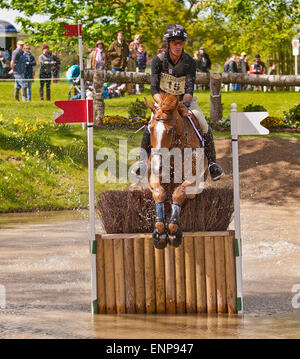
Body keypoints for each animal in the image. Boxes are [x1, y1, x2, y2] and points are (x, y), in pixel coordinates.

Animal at [144, 93, 207, 250]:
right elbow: (159, 192)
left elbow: (179, 193)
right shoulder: (153, 177)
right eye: (150, 129)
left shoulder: (193, 178)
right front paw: (160, 232)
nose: (158, 166)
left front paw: (173, 231)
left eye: (170, 130)